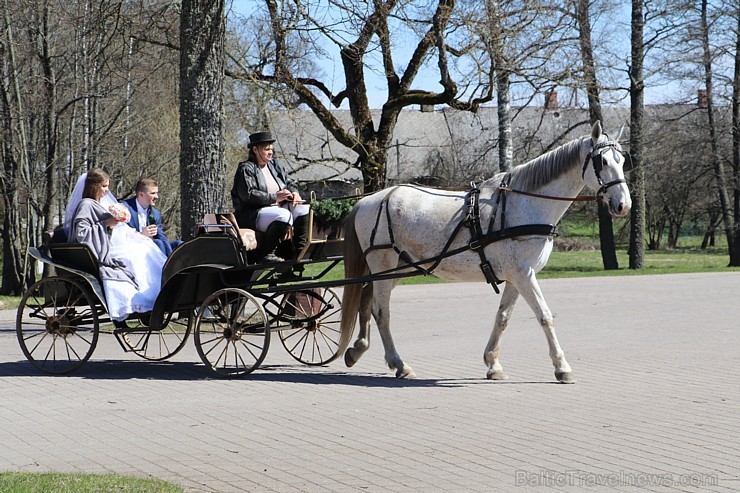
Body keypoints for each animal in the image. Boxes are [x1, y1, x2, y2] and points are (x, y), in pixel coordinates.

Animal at [336, 121, 632, 382]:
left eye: (622, 161)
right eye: (602, 162)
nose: (623, 205)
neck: (523, 203)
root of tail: (369, 200)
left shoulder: (517, 276)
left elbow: (503, 318)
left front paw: (493, 363)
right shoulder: (524, 275)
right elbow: (545, 316)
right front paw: (562, 367)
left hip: (399, 268)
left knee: (366, 299)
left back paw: (358, 349)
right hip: (384, 266)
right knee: (380, 311)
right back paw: (399, 363)